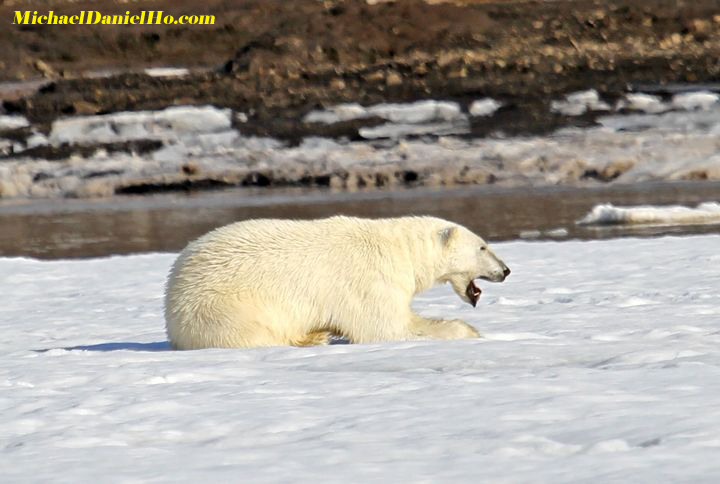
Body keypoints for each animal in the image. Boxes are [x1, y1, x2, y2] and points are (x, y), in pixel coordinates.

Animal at [165, 216, 512, 348]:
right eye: (483, 246)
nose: (506, 270)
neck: (399, 251)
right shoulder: (369, 282)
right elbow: (386, 326)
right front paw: (469, 331)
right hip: (223, 306)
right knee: (253, 334)